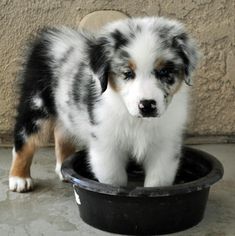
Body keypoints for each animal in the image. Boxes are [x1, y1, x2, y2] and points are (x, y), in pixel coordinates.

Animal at [8, 17, 198, 193]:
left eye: (165, 72)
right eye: (127, 73)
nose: (147, 105)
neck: (137, 120)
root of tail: (47, 36)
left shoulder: (165, 146)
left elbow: (157, 183)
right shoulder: (106, 145)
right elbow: (113, 181)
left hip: (66, 111)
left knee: (62, 134)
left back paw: (63, 170)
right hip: (36, 106)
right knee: (24, 142)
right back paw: (19, 179)